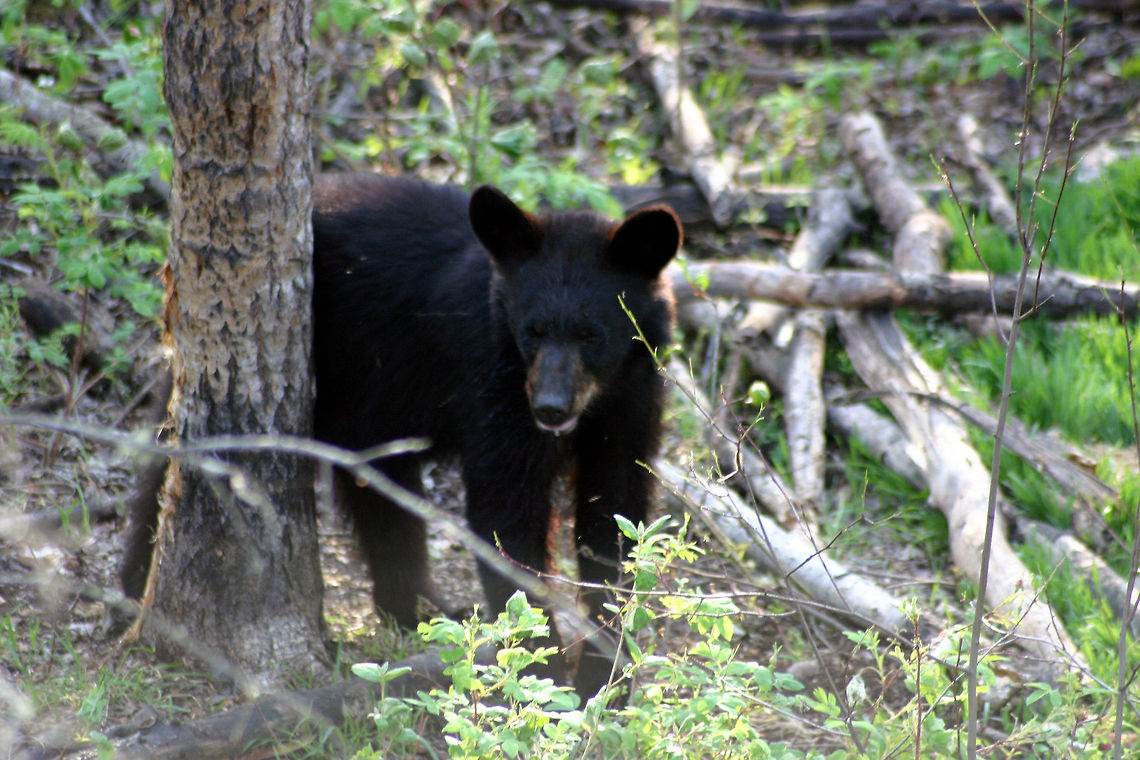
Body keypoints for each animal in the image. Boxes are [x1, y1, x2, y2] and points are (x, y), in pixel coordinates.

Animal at [312, 174, 681, 696]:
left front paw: (603, 676)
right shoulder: (494, 386)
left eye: (592, 335)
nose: (550, 408)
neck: (597, 401)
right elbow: (505, 512)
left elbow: (614, 516)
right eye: (533, 330)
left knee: (382, 491)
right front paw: (544, 679)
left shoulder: (632, 404)